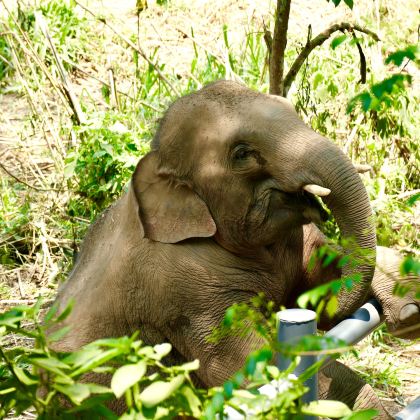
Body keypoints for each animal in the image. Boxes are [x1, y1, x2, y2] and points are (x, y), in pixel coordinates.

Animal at [53, 79, 420, 416]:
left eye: (291, 109)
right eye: (243, 154)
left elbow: (318, 282)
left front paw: (408, 310)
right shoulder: (185, 292)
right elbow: (255, 369)